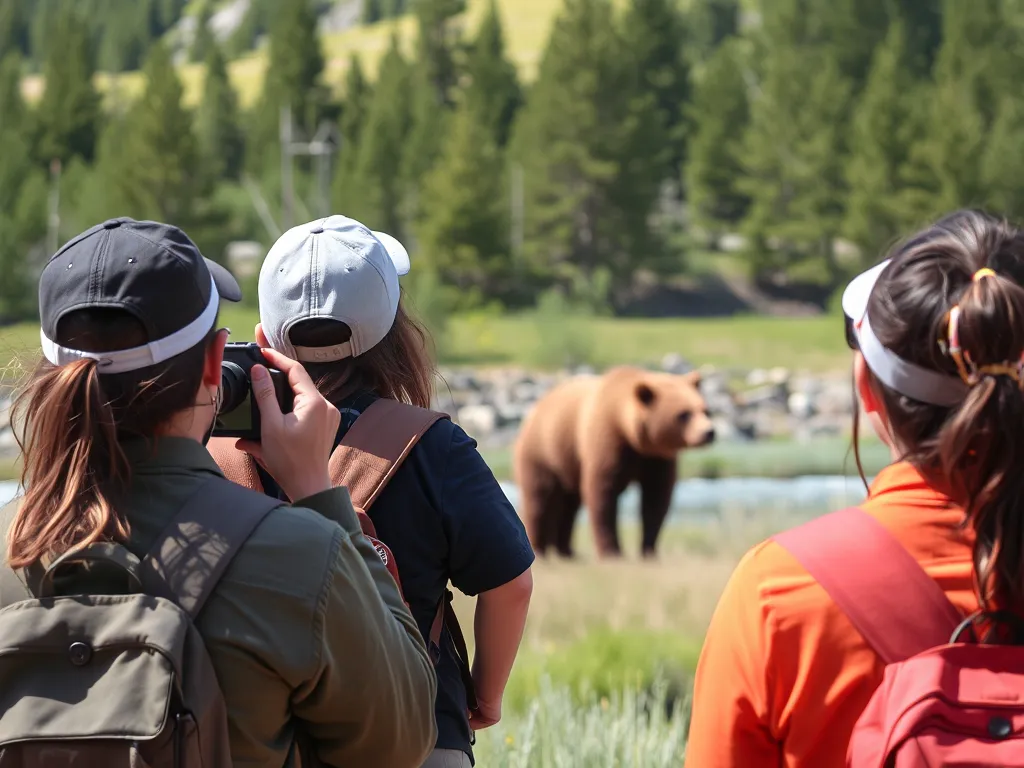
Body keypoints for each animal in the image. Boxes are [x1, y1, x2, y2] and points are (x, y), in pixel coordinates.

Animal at [512, 365, 715, 559]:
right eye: (684, 414)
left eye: (706, 410)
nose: (709, 432)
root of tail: (535, 408)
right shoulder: (606, 442)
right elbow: (603, 495)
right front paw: (612, 551)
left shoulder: (656, 458)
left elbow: (656, 497)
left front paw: (649, 550)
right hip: (542, 453)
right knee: (540, 498)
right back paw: (540, 550)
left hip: (567, 463)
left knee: (569, 505)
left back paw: (567, 552)